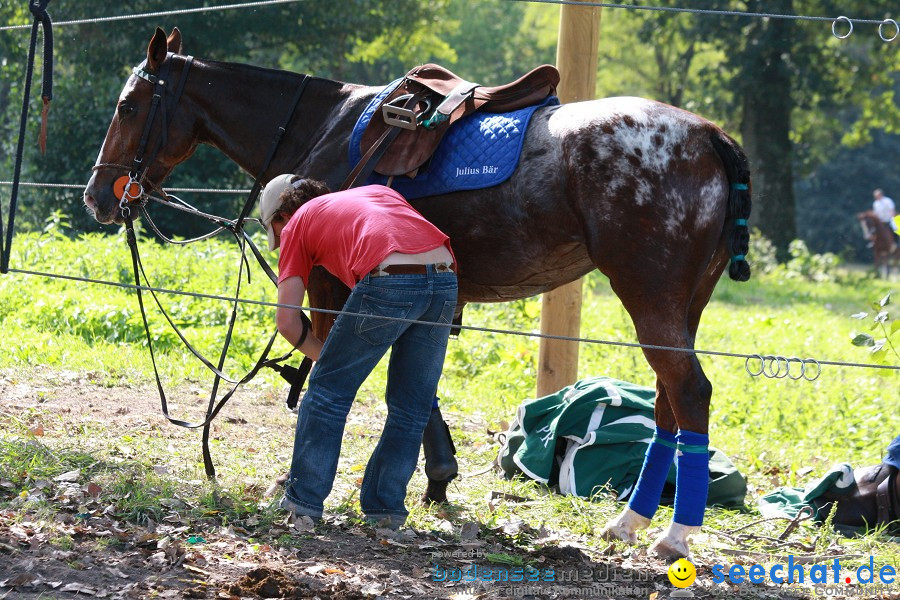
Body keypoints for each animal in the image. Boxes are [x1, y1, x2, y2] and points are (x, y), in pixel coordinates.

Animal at [82, 30, 752, 560]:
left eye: (129, 105)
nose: (98, 195)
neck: (324, 122)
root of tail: (710, 137)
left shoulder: (333, 283)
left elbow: (339, 373)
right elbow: (416, 388)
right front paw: (435, 480)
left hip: (650, 297)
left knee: (689, 394)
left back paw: (674, 535)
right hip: (683, 306)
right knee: (668, 403)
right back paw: (631, 521)